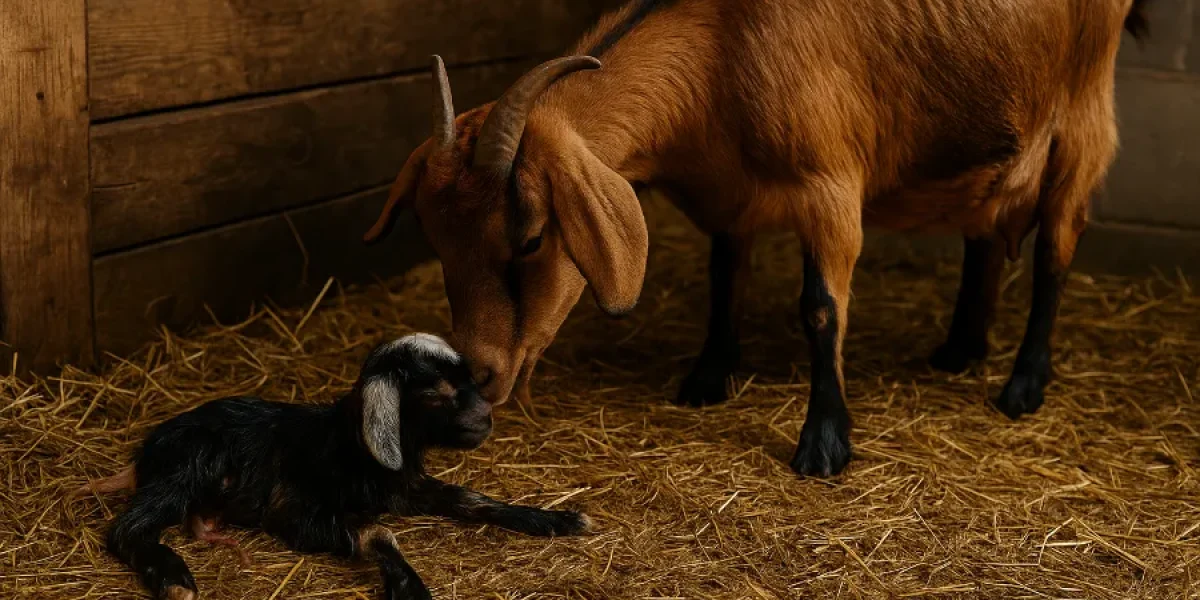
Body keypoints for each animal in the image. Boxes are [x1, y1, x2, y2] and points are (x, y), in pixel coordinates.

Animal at [75, 334, 591, 600]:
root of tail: (146, 450)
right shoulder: (293, 510)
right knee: (127, 527)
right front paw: (409, 587)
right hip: (189, 465)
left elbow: (471, 499)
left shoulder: (403, 486)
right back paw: (173, 578)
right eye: (432, 390)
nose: (485, 419)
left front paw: (557, 518)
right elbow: (377, 532)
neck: (349, 446)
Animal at [364, 0, 1153, 477]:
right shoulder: (730, 195)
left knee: (1056, 249)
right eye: (436, 239)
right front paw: (709, 376)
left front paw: (825, 441)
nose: (477, 374)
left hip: (1083, 113)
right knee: (986, 234)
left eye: (529, 238)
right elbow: (724, 279)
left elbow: (821, 309)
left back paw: (1022, 385)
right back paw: (960, 349)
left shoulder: (831, 183)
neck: (727, 46)